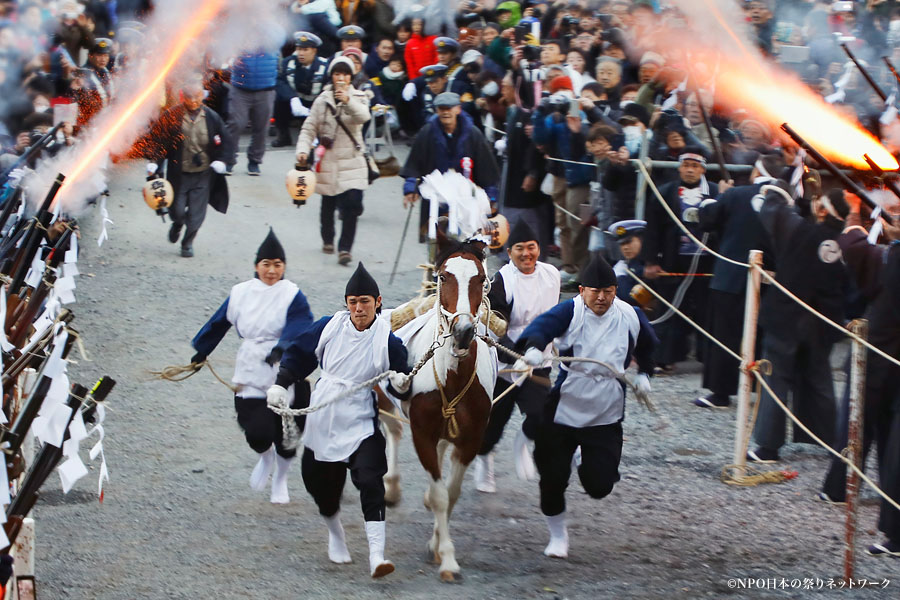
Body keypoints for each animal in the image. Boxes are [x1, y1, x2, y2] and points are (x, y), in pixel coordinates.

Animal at [376, 233, 496, 580]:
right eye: (443, 276)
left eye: (481, 278)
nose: (463, 331)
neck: (452, 378)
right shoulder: (422, 434)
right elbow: (441, 495)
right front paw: (448, 558)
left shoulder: (471, 438)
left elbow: (451, 493)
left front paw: (438, 546)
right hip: (384, 396)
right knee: (392, 429)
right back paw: (391, 488)